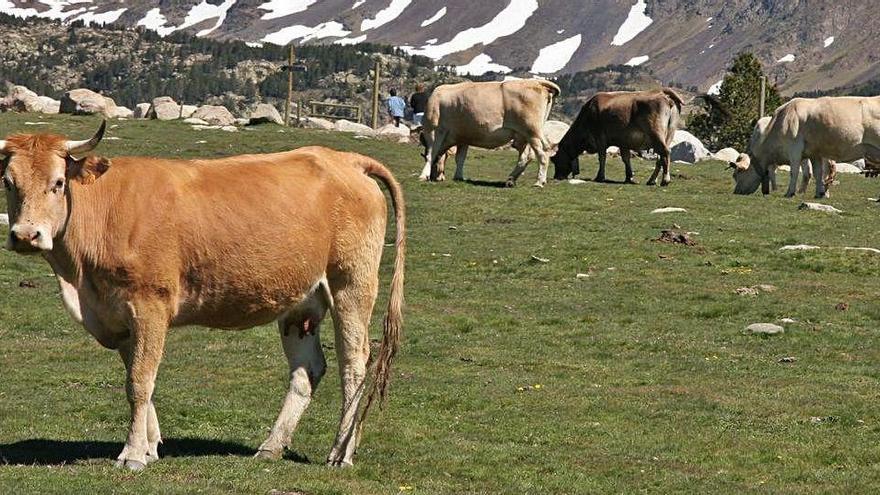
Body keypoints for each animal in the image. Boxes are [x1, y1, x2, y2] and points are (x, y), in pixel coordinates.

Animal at [0, 122, 406, 470]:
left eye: (57, 183)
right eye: (8, 182)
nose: (26, 235)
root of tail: (346, 160)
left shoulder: (150, 304)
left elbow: (139, 382)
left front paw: (132, 454)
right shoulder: (118, 316)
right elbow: (139, 377)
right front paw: (149, 446)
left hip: (351, 283)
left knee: (354, 363)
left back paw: (341, 452)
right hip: (300, 302)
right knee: (308, 369)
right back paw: (271, 446)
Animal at [418, 79, 556, 188]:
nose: (436, 177)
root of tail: (536, 82)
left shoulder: (434, 130)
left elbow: (431, 153)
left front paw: (423, 175)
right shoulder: (463, 137)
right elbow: (460, 158)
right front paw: (458, 176)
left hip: (532, 132)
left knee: (542, 154)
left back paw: (539, 182)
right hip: (523, 136)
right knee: (527, 156)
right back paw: (511, 180)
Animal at [552, 89, 684, 186]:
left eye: (555, 159)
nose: (556, 177)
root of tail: (662, 93)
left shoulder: (600, 138)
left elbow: (602, 157)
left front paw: (600, 177)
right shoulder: (623, 142)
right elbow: (626, 159)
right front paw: (629, 177)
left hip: (656, 132)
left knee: (665, 153)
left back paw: (665, 180)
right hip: (669, 134)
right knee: (660, 157)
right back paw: (651, 180)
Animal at [732, 96, 880, 197]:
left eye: (737, 174)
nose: (736, 191)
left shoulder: (794, 150)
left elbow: (794, 172)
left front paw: (790, 193)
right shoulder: (814, 153)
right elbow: (818, 173)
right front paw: (819, 193)